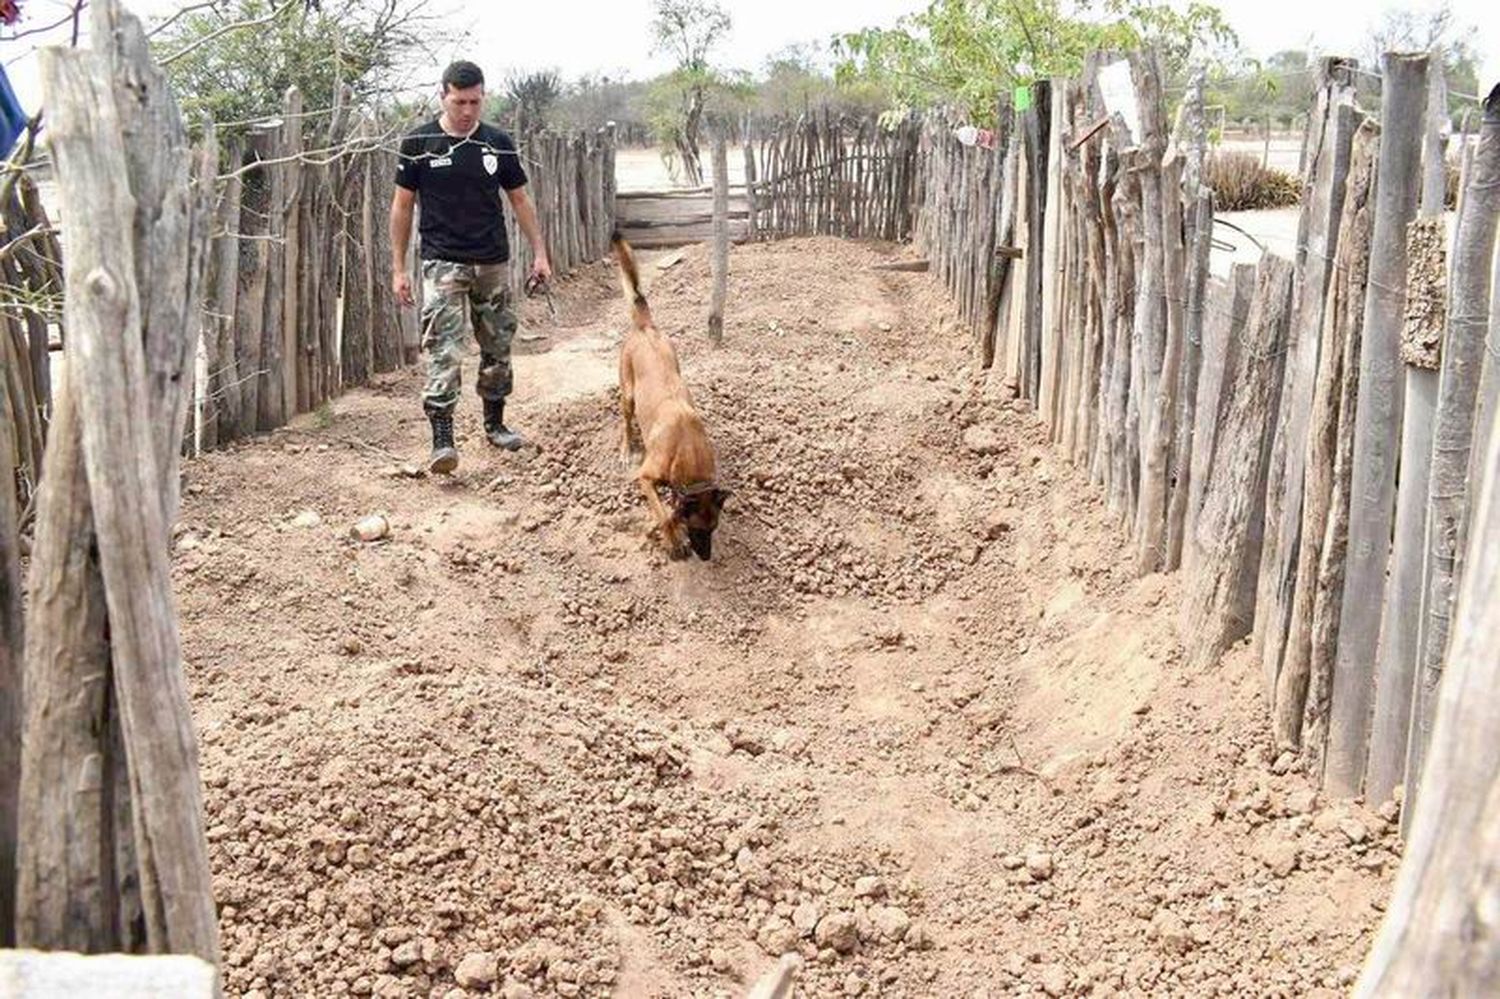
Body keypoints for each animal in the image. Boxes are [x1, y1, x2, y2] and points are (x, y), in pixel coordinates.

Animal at [609, 234, 726, 561]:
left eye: (713, 529)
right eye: (697, 529)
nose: (706, 557)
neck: (686, 449)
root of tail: (645, 327)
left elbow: (670, 509)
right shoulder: (645, 478)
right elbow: (663, 514)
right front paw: (673, 540)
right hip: (628, 395)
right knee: (625, 422)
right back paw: (626, 449)